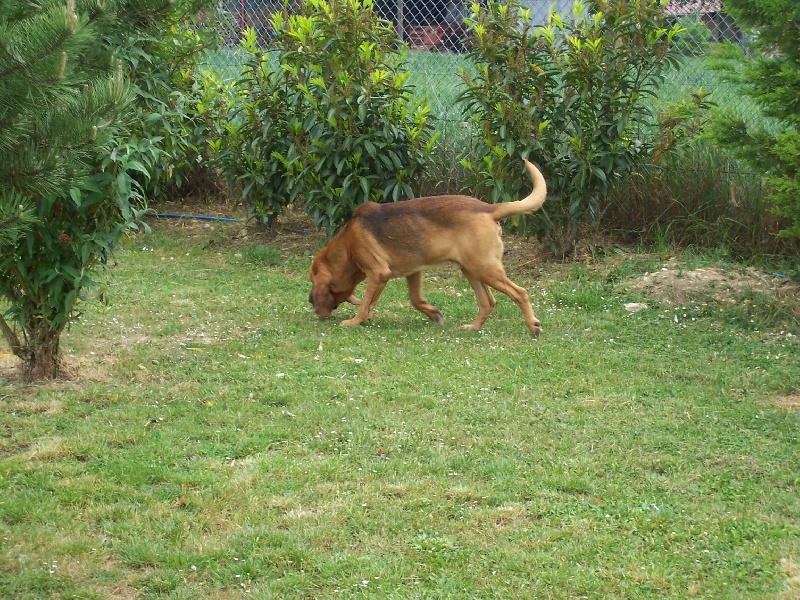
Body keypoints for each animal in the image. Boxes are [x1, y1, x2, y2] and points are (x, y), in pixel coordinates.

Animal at [310, 159, 548, 336]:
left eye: (312, 281)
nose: (310, 301)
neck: (348, 242)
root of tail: (489, 208)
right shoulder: (413, 272)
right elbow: (414, 300)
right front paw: (433, 313)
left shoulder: (378, 274)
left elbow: (367, 302)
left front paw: (355, 321)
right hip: (471, 269)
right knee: (487, 301)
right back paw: (473, 327)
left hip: (484, 269)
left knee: (520, 293)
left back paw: (533, 326)